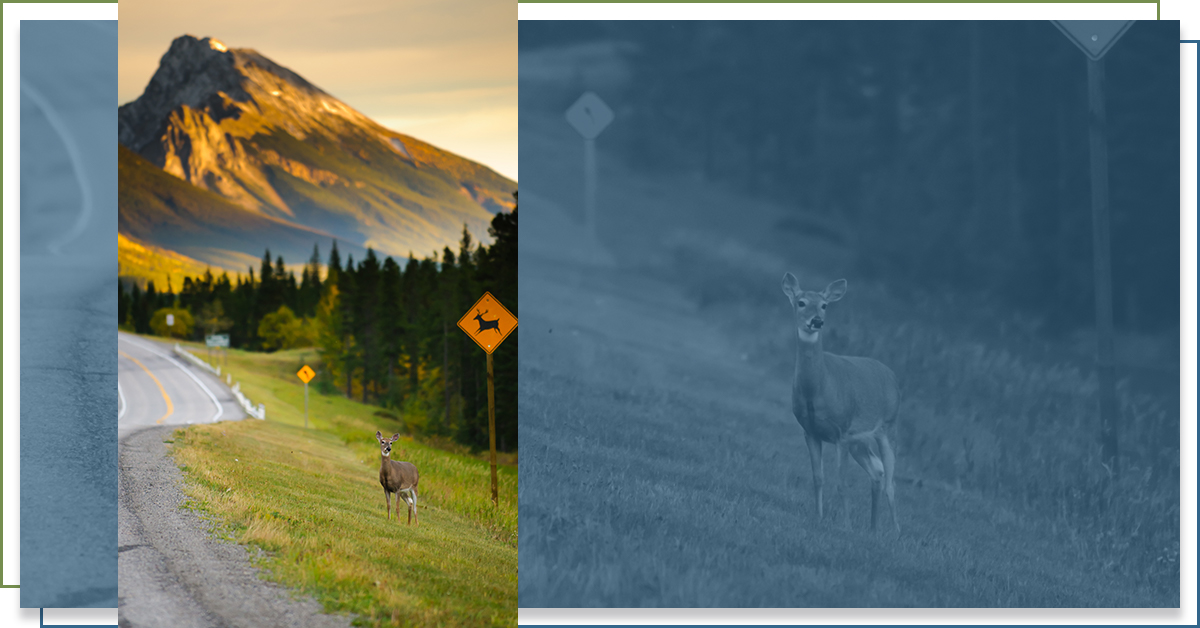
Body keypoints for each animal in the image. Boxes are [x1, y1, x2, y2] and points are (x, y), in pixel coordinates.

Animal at [777, 272, 902, 533]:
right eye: (801, 302)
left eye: (824, 305)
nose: (816, 321)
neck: (819, 387)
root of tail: (893, 376)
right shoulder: (811, 431)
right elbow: (818, 478)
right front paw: (819, 517)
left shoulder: (841, 432)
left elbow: (842, 483)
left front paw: (845, 525)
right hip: (860, 441)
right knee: (877, 472)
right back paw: (873, 528)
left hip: (889, 426)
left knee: (891, 481)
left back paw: (896, 531)